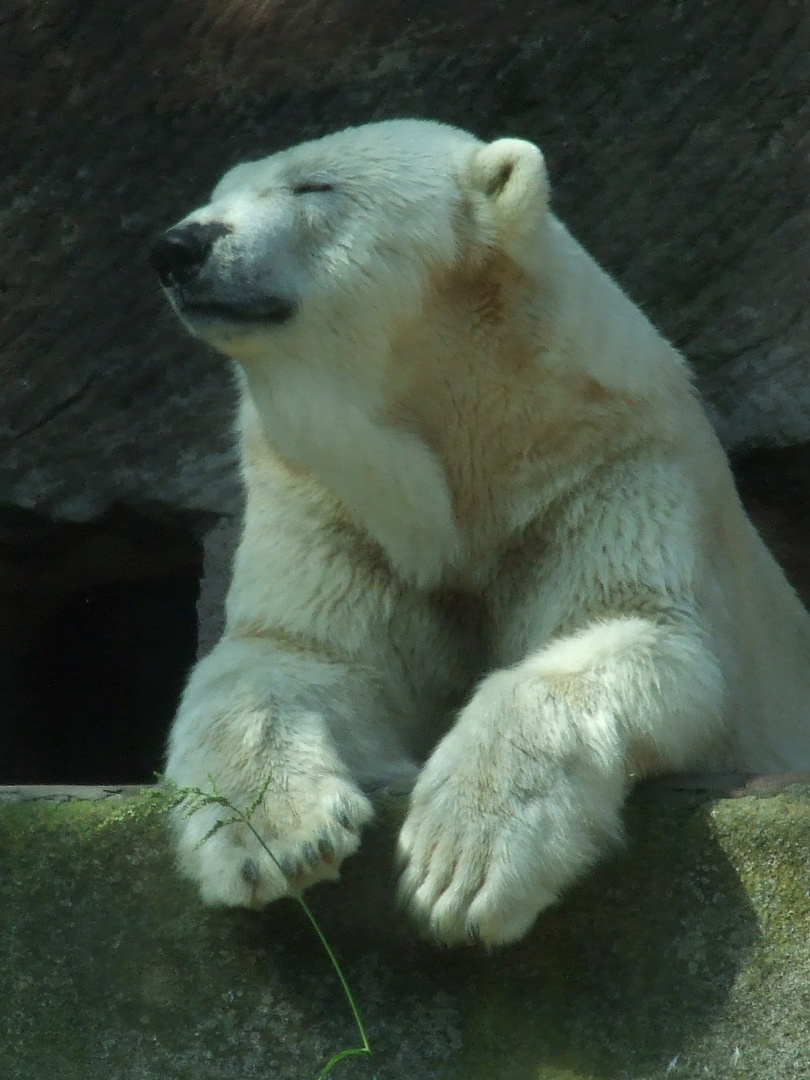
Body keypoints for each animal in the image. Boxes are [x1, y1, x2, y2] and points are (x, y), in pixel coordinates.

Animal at [151, 120, 810, 946]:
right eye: (219, 191)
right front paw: (274, 836)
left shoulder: (603, 472)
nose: (180, 245)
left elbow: (631, 631)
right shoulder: (332, 506)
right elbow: (290, 655)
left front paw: (459, 859)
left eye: (314, 186)